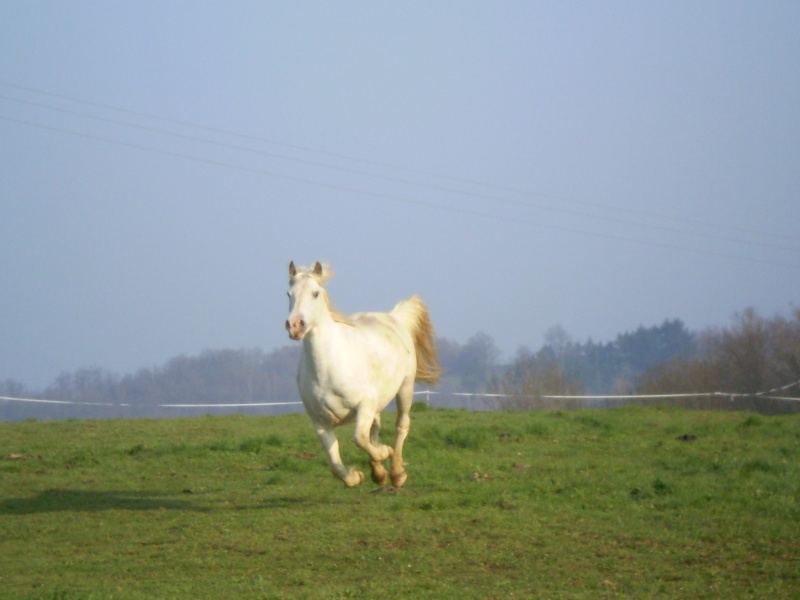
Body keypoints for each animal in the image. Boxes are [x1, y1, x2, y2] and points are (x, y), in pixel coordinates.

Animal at [284, 262, 440, 488]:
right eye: (289, 294)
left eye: (315, 293)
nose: (295, 326)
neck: (326, 370)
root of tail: (393, 317)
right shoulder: (320, 422)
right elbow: (335, 462)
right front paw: (357, 476)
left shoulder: (364, 405)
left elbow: (360, 439)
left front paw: (385, 453)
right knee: (376, 428)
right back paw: (379, 473)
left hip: (405, 387)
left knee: (401, 426)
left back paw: (396, 473)